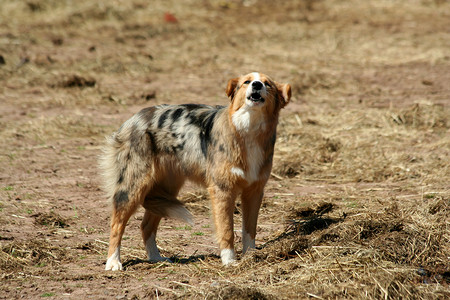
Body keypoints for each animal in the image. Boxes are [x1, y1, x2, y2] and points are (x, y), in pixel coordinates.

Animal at [100, 72, 292, 270]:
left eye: (267, 84)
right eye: (247, 81)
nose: (256, 85)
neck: (248, 128)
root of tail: (134, 117)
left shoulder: (254, 192)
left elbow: (250, 230)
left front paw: (251, 256)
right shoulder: (222, 191)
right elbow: (227, 230)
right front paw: (229, 261)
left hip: (164, 191)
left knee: (146, 226)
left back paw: (156, 258)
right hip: (133, 188)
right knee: (116, 224)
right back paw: (113, 262)